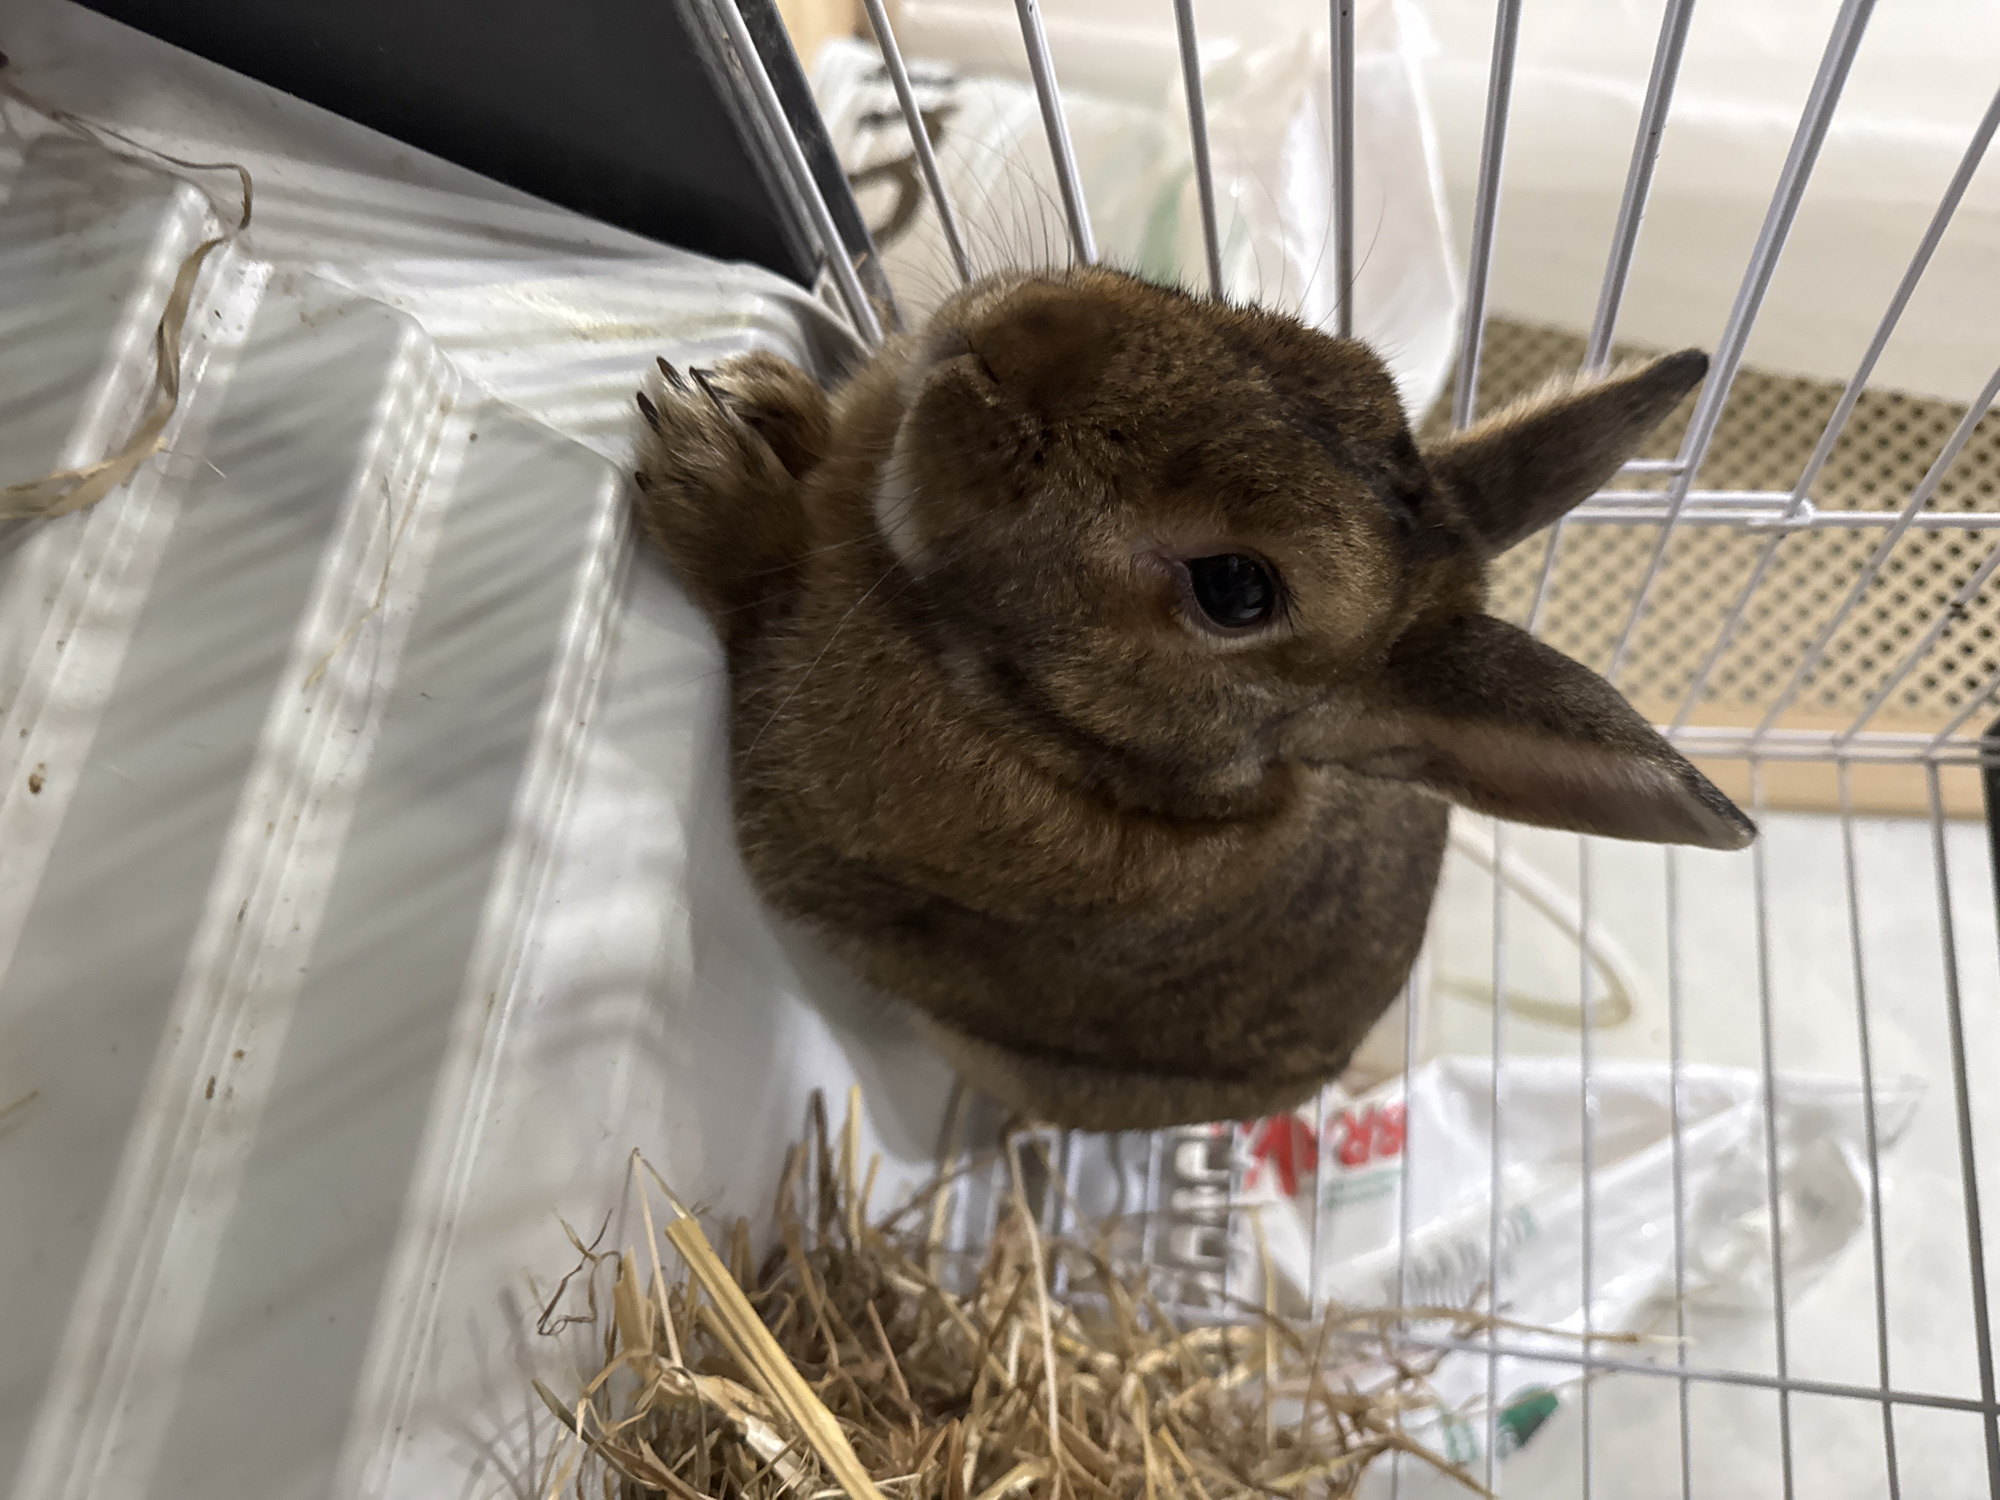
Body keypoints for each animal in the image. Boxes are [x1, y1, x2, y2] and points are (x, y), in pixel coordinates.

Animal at [633, 267, 1753, 1132]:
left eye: (1237, 591)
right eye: (1340, 363)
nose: (1020, 335)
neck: (1071, 733)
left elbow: (754, 593)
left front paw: (706, 456)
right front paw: (768, 402)